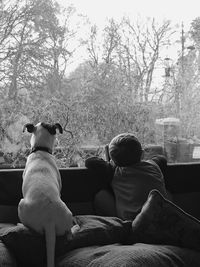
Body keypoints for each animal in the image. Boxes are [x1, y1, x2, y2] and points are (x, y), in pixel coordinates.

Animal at [18, 123, 77, 267]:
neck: (41, 150)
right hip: (67, 215)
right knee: (68, 233)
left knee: (32, 228)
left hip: (21, 204)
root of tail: (49, 221)